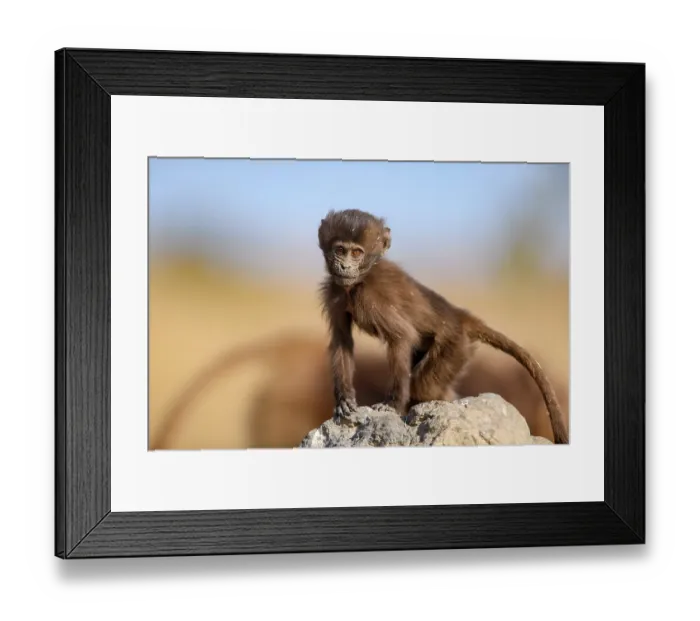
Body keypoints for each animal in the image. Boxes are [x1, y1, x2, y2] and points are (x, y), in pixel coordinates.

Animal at [318, 208, 570, 444]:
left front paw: (393, 404)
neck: (359, 281)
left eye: (356, 253)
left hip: (454, 347)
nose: (344, 267)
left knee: (424, 386)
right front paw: (344, 400)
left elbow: (401, 336)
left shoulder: (368, 297)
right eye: (340, 250)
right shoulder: (335, 291)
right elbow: (342, 340)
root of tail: (458, 315)